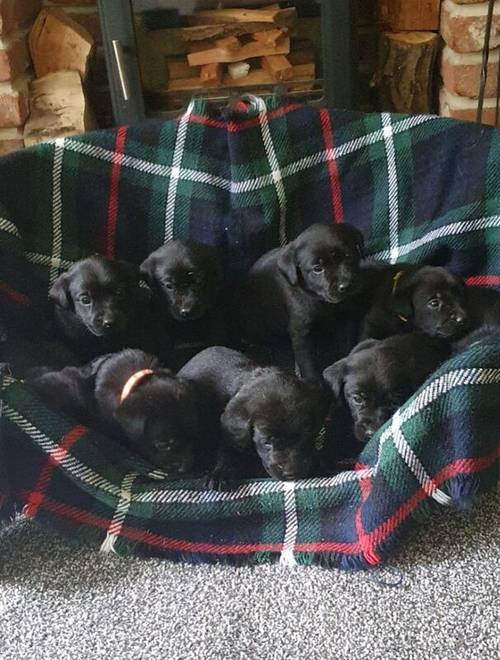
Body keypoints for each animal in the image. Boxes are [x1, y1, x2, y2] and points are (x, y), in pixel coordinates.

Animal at [178, 348, 326, 488]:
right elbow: (228, 451)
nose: (292, 473)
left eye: (306, 437)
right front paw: (219, 475)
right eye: (266, 442)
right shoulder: (230, 431)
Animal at [241, 224, 364, 378]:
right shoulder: (301, 332)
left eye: (348, 256)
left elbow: (346, 345)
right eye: (317, 269)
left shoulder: (345, 319)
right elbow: (307, 363)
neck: (321, 301)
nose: (345, 286)